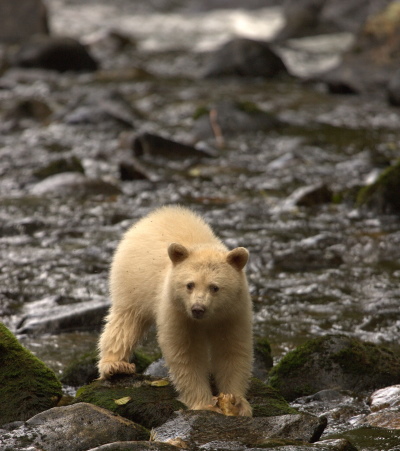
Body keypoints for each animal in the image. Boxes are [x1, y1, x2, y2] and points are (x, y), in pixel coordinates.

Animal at [97, 205, 253, 416]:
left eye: (215, 287)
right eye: (190, 285)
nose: (197, 309)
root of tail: (155, 214)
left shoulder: (233, 313)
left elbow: (233, 349)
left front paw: (237, 402)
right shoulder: (177, 312)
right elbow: (185, 352)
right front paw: (204, 403)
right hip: (133, 281)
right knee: (125, 321)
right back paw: (115, 364)